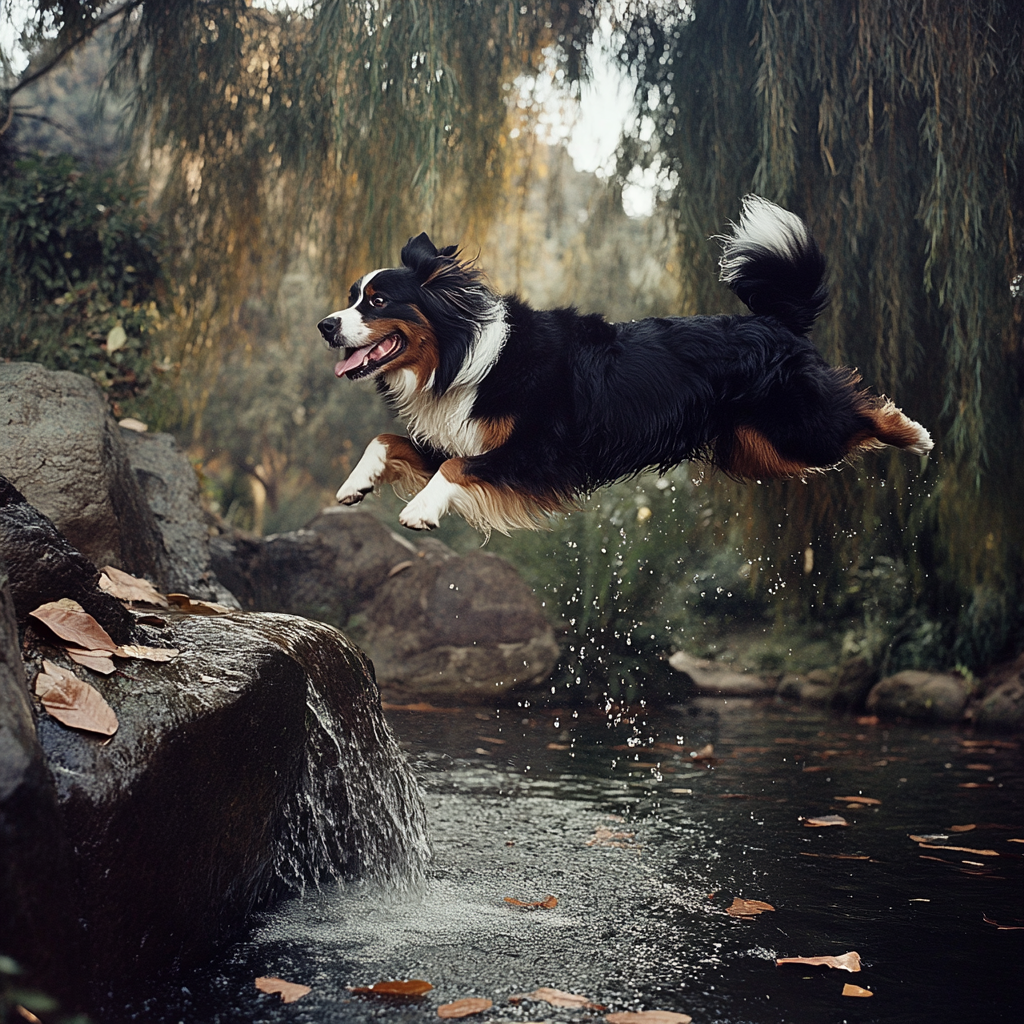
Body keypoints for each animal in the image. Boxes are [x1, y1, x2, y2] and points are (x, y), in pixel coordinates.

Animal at [315, 197, 933, 536]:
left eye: (376, 302)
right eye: (352, 297)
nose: (325, 325)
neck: (462, 354)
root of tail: (774, 321)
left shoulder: (538, 453)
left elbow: (452, 469)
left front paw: (420, 512)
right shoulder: (464, 438)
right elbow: (387, 440)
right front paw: (354, 485)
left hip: (796, 427)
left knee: (860, 413)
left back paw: (914, 432)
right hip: (757, 450)